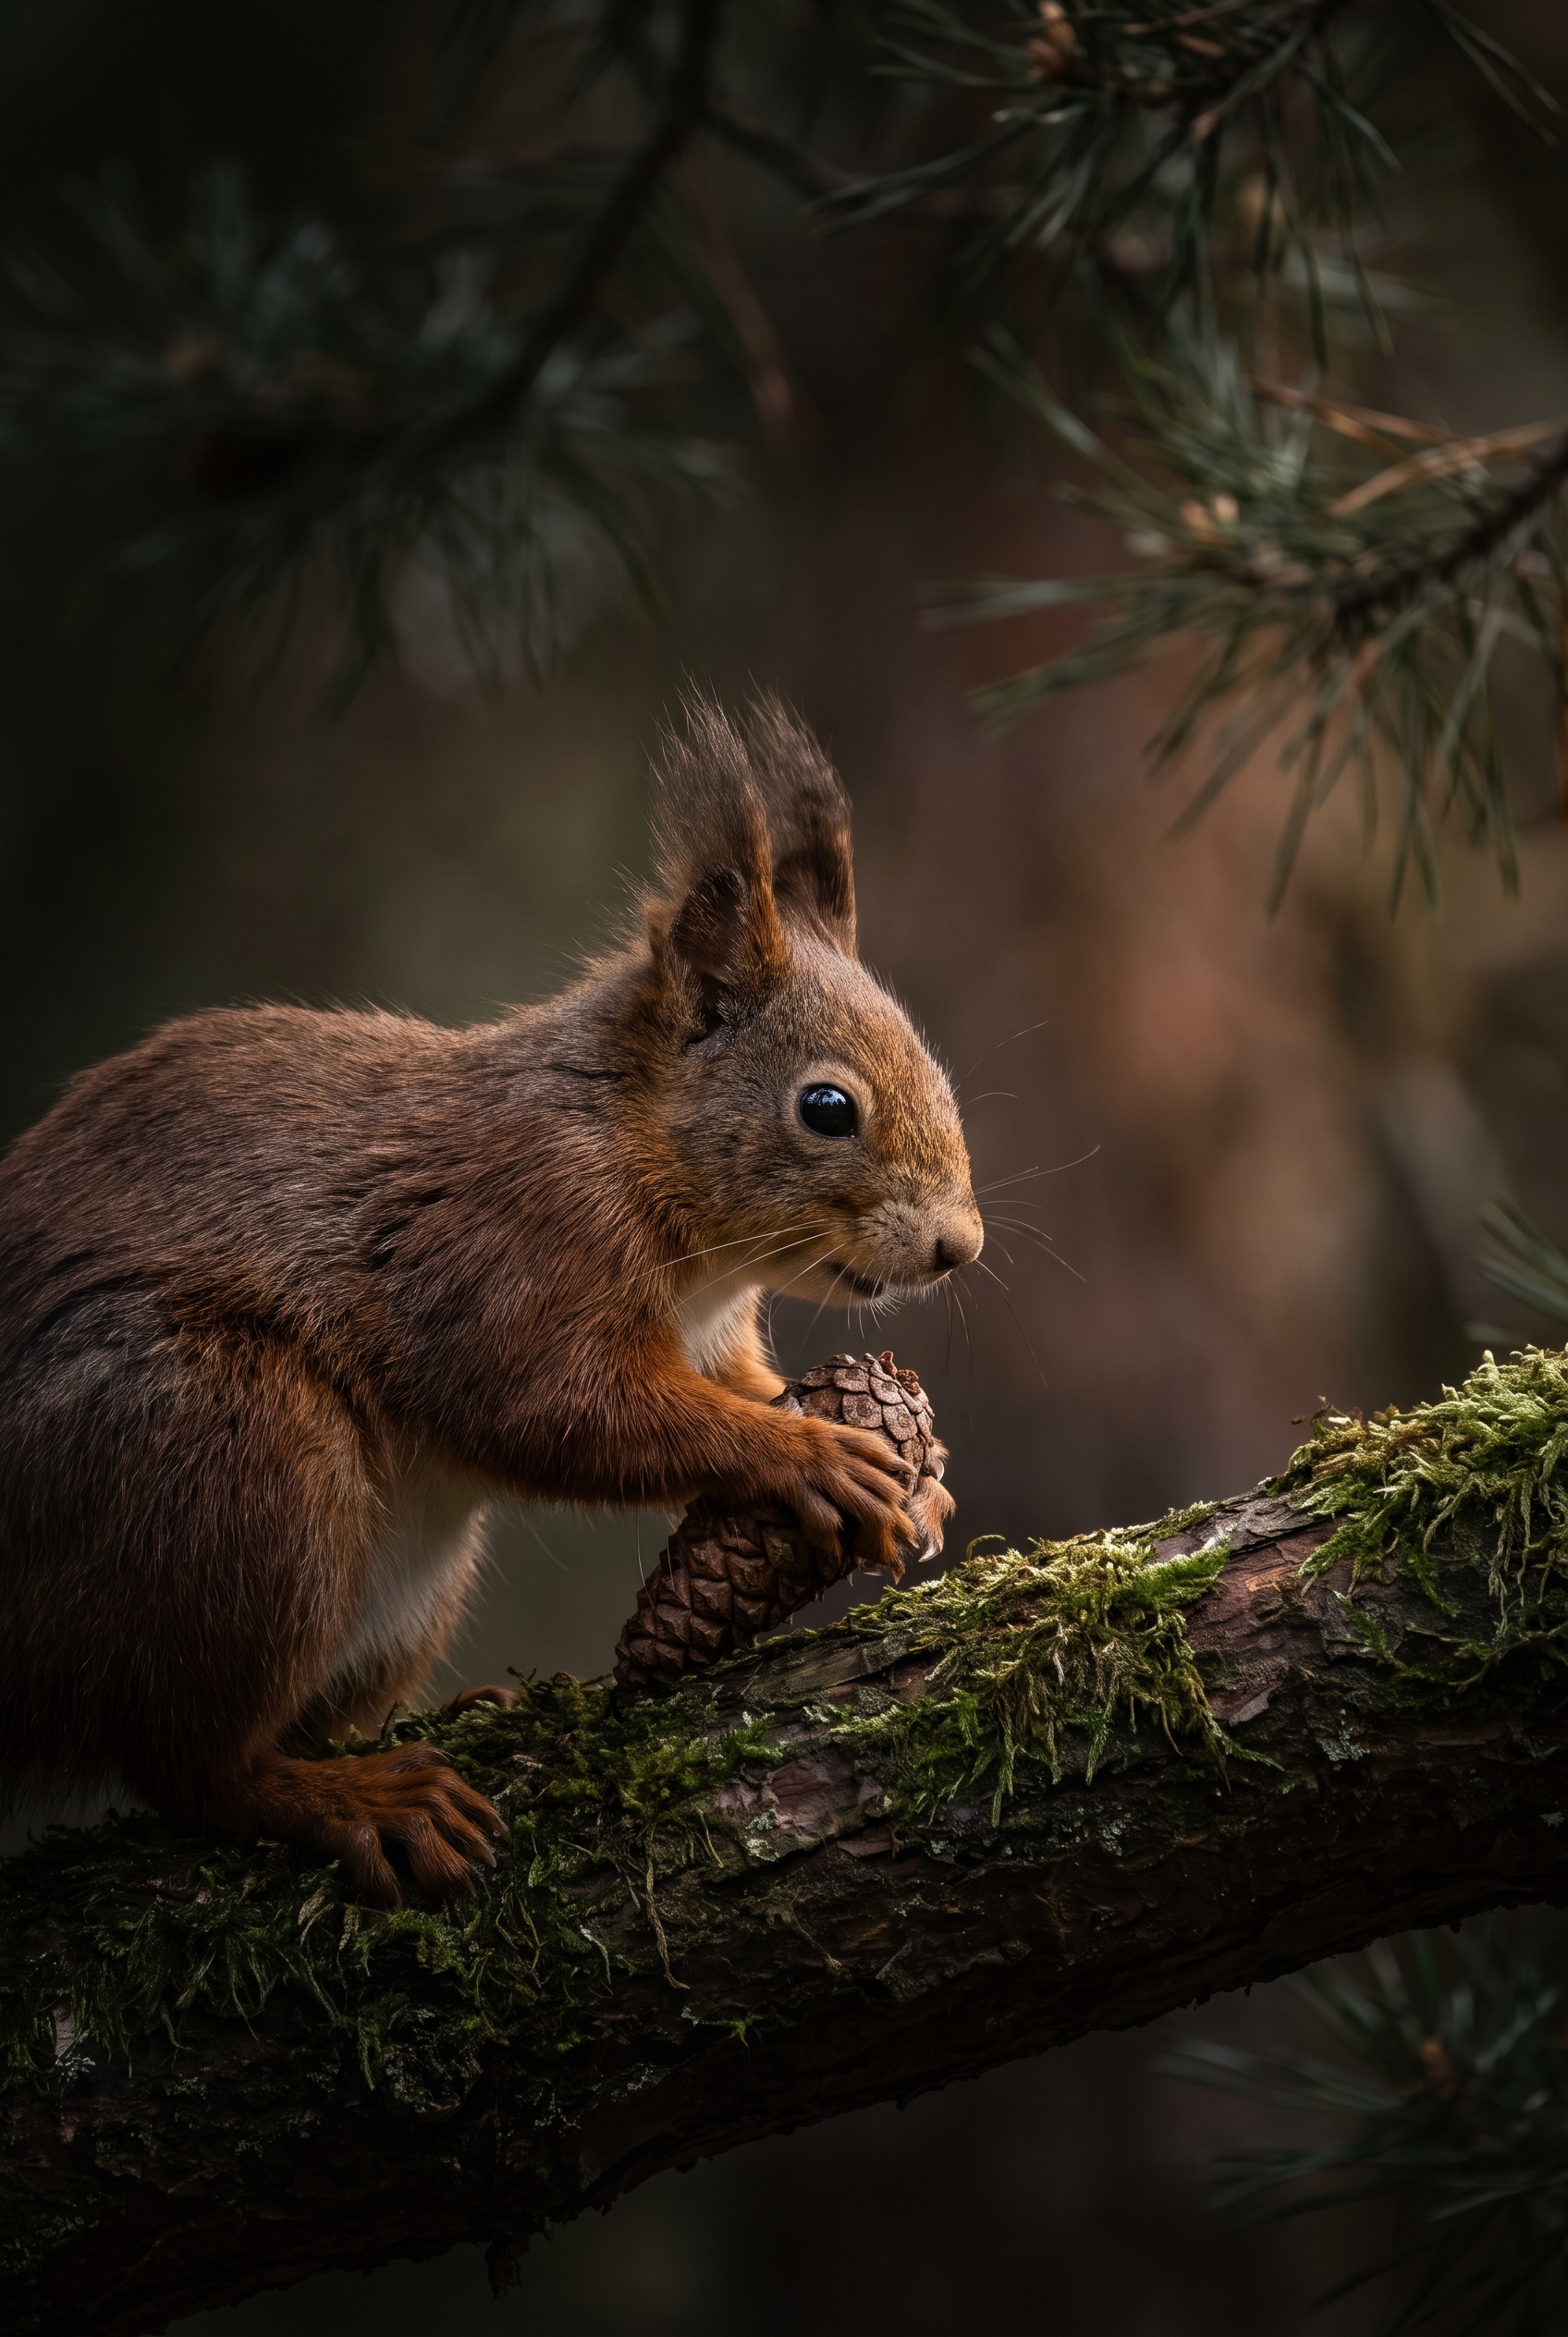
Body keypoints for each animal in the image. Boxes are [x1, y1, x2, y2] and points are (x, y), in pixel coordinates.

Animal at [0, 698, 982, 1906]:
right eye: (828, 1107)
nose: (959, 1246)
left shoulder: (711, 1335)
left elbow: (735, 1385)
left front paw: (921, 1479)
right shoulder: (511, 1244)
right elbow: (555, 1408)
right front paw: (809, 1453)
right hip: (223, 1448)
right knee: (189, 1763)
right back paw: (353, 1794)